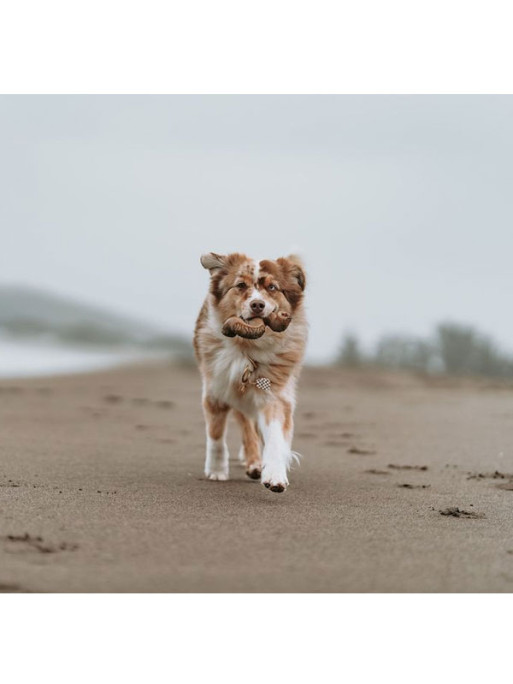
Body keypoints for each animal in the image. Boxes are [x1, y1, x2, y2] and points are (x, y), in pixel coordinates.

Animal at [191, 251, 304, 492]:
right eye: (241, 285)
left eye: (272, 287)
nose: (257, 304)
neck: (248, 348)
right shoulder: (217, 389)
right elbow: (216, 433)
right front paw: (216, 470)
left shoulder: (275, 394)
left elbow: (275, 438)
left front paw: (275, 475)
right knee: (246, 428)